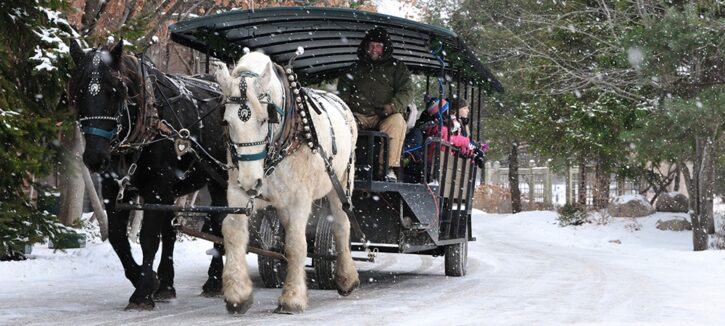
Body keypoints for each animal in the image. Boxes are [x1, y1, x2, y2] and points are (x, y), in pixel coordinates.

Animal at [68, 39, 228, 310]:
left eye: (115, 92)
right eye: (79, 93)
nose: (95, 158)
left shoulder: (157, 187)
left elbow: (148, 237)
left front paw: (142, 292)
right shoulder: (115, 189)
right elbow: (118, 237)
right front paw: (148, 280)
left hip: (220, 180)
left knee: (219, 222)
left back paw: (214, 280)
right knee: (172, 232)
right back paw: (167, 285)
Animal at [215, 52, 362, 314]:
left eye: (265, 119)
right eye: (227, 122)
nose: (251, 182)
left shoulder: (299, 197)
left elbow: (296, 243)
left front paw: (292, 298)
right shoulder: (237, 190)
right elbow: (232, 231)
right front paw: (238, 294)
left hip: (342, 179)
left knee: (341, 225)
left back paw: (346, 277)